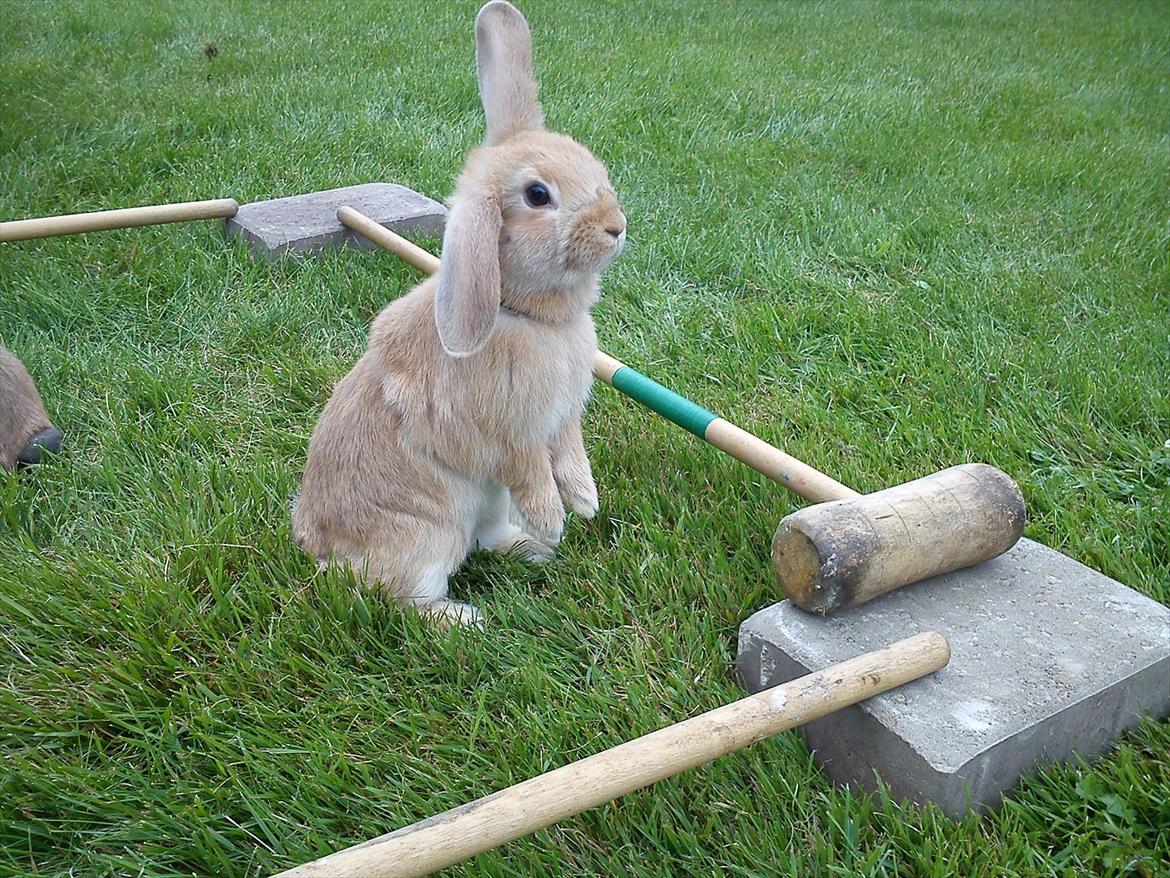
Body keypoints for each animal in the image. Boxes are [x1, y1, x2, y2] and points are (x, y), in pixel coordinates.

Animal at [288, 1, 627, 632]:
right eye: (538, 195)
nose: (616, 227)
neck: (522, 313)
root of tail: (326, 556)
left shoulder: (562, 418)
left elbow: (569, 453)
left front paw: (585, 502)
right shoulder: (509, 434)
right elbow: (530, 468)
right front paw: (555, 517)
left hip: (484, 507)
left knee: (485, 541)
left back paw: (531, 550)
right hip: (430, 535)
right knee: (399, 597)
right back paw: (469, 616)